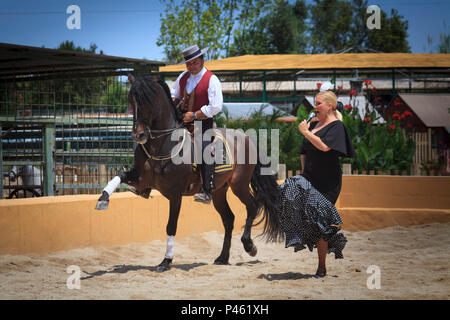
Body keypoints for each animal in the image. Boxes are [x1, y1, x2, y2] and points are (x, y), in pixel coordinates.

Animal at [94, 74, 282, 270]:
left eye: (148, 101)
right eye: (131, 101)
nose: (138, 135)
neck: (162, 144)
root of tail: (247, 138)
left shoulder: (175, 194)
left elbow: (171, 226)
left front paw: (166, 260)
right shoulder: (141, 180)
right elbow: (119, 175)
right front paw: (103, 199)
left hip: (239, 185)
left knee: (252, 206)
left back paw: (249, 246)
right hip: (219, 191)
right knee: (229, 219)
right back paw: (222, 257)